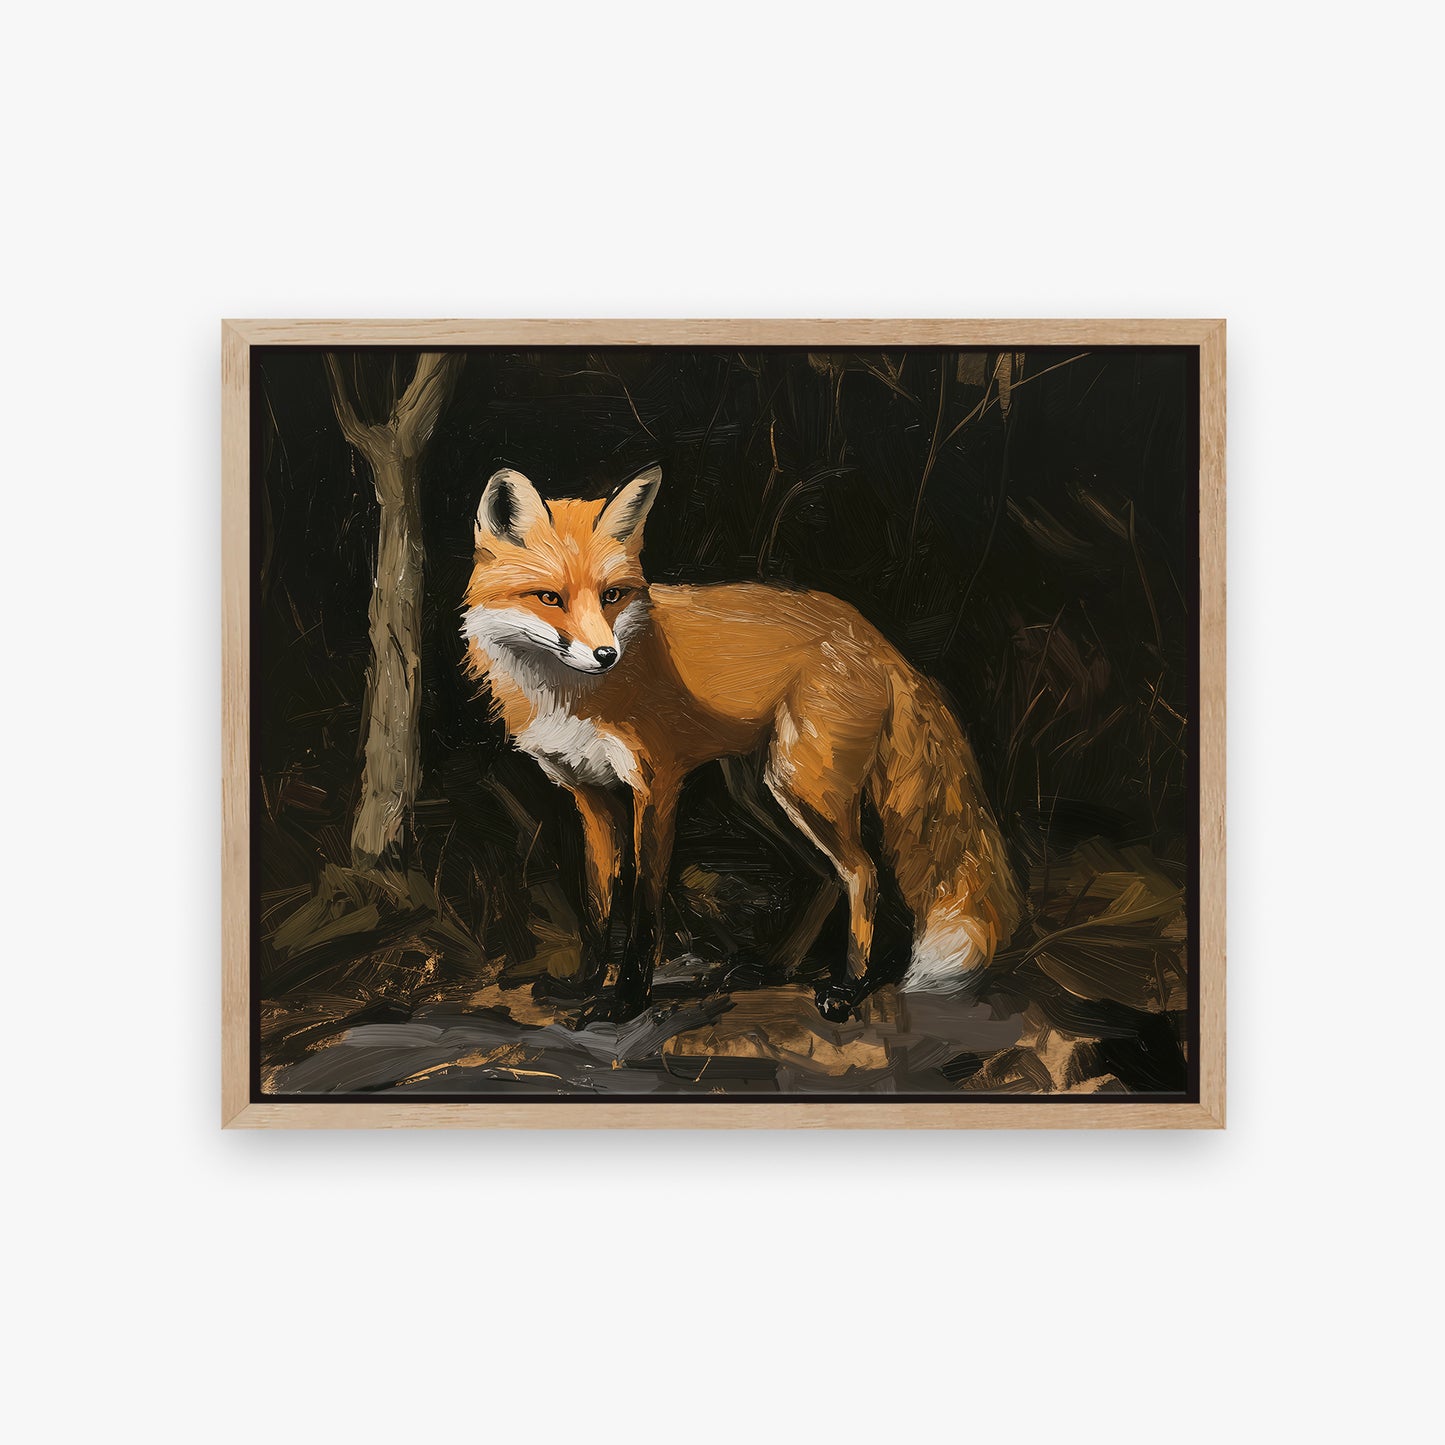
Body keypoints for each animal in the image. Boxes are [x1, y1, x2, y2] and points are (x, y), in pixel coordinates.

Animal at [461, 464, 1023, 1022]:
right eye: (549, 598)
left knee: (863, 873)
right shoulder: (589, 795)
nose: (606, 654)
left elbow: (645, 906)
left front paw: (627, 1001)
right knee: (825, 877)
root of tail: (873, 635)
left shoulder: (656, 786)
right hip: (761, 793)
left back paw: (847, 988)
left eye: (612, 596)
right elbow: (599, 905)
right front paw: (585, 984)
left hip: (803, 787)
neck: (570, 696)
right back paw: (774, 969)